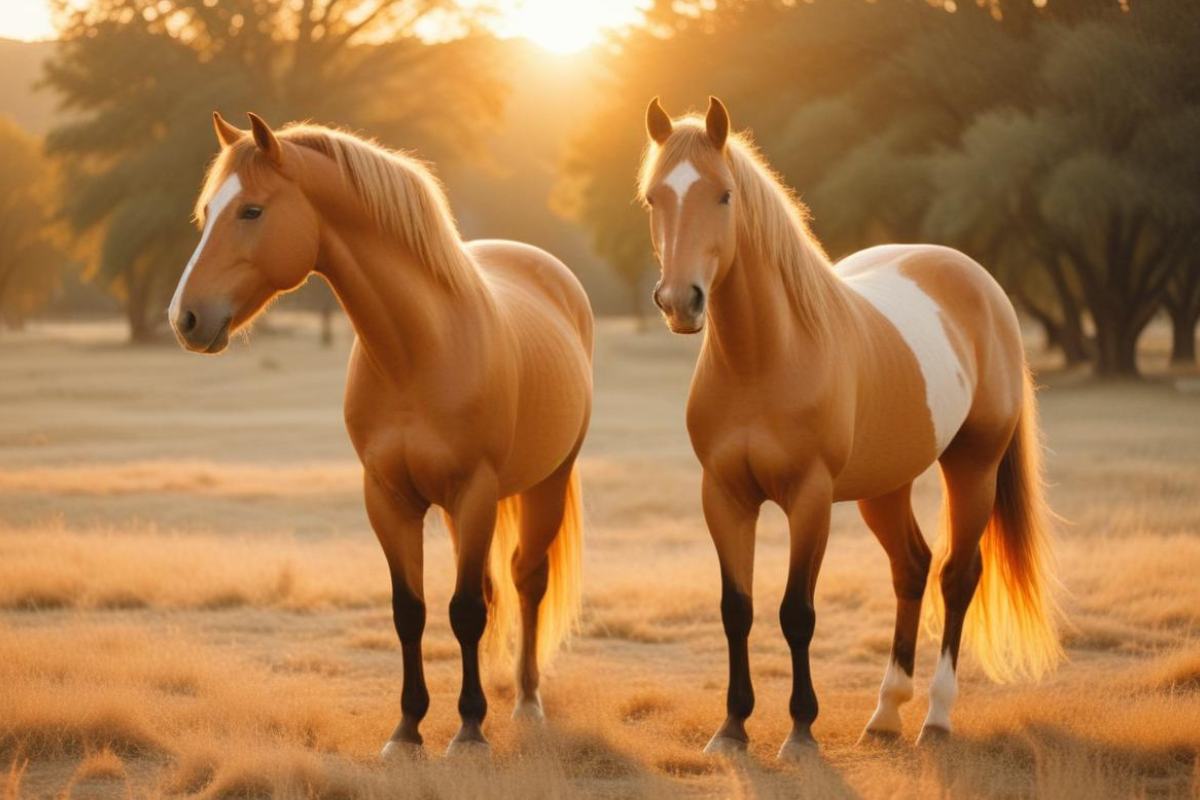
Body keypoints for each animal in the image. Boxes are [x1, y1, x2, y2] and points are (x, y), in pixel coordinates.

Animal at [169, 112, 593, 757]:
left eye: (251, 211)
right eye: (206, 211)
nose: (185, 318)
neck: (417, 352)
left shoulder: (473, 493)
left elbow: (465, 611)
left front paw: (469, 730)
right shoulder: (388, 498)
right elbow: (410, 611)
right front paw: (407, 730)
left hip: (545, 482)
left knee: (526, 582)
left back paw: (525, 702)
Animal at [639, 97, 1062, 760]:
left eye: (724, 195)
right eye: (654, 197)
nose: (682, 301)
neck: (764, 358)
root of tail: (978, 282)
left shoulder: (809, 498)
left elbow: (797, 612)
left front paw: (800, 732)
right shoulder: (724, 496)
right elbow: (737, 608)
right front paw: (731, 728)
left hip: (974, 467)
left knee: (957, 576)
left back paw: (936, 719)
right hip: (883, 487)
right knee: (911, 568)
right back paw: (885, 714)